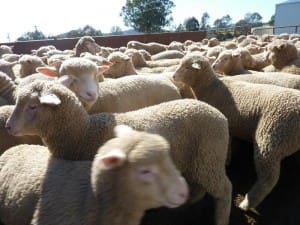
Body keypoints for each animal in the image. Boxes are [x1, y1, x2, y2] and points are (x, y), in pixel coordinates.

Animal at [172, 51, 300, 212]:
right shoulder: (229, 125)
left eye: (187, 67)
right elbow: (229, 144)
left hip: (271, 138)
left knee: (268, 178)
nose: (173, 77)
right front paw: (227, 159)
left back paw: (246, 203)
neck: (211, 87)